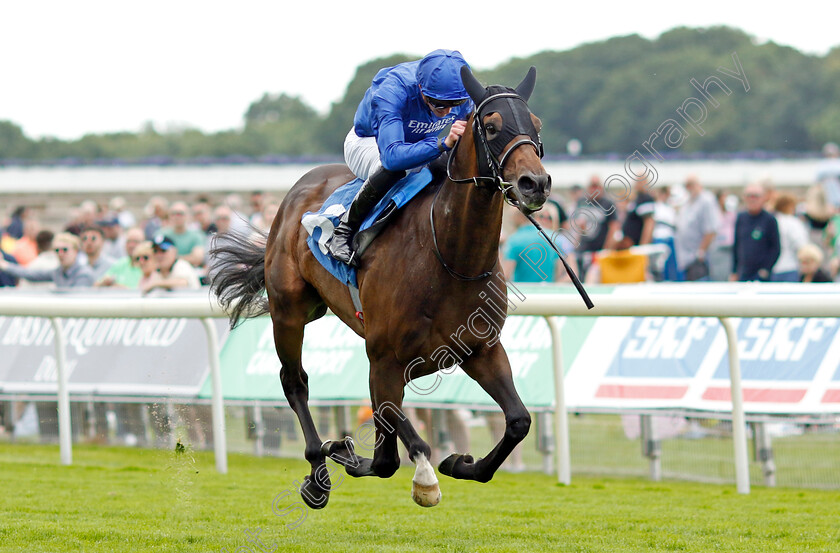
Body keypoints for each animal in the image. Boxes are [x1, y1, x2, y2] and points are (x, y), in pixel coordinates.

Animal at [210, 66, 552, 508]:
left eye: (536, 125)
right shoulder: (385, 358)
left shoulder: (481, 349)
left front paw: (459, 462)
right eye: (491, 126)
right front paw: (421, 479)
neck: (449, 256)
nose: (534, 183)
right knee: (295, 381)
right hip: (288, 312)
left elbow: (517, 421)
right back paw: (317, 471)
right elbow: (402, 444)